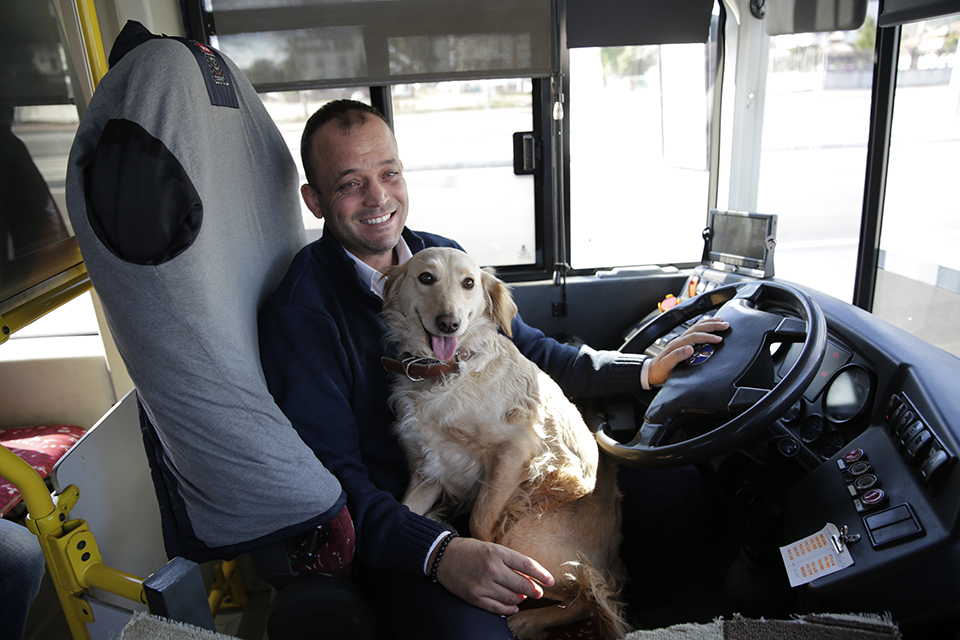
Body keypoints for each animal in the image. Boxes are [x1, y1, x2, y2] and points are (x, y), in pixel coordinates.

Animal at [382, 248, 632, 636]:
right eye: (426, 278)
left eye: (469, 283)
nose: (449, 323)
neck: (447, 372)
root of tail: (610, 559)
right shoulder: (429, 469)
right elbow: (406, 509)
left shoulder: (515, 449)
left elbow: (481, 521)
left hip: (524, 532)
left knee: (587, 593)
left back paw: (527, 619)